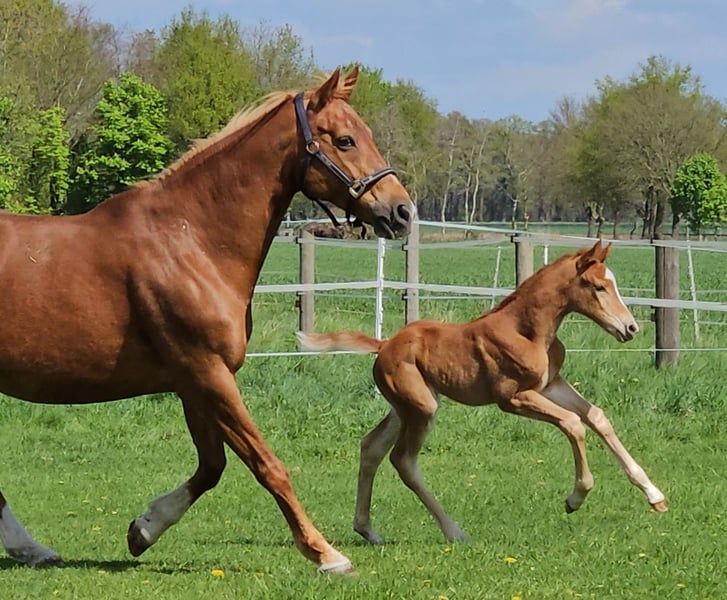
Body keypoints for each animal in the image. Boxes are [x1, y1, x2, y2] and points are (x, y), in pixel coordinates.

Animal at [0, 66, 413, 574]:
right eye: (345, 140)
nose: (402, 211)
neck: (191, 242)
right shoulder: (208, 374)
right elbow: (267, 464)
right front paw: (325, 553)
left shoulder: (195, 382)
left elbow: (212, 466)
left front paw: (144, 528)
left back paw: (30, 548)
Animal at [298, 240, 667, 545]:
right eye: (598, 286)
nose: (630, 328)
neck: (526, 330)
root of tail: (384, 344)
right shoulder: (513, 398)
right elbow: (573, 424)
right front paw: (575, 498)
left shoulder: (551, 385)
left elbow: (597, 417)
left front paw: (655, 495)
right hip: (423, 408)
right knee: (403, 460)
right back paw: (455, 532)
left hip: (405, 407)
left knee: (371, 447)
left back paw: (368, 530)